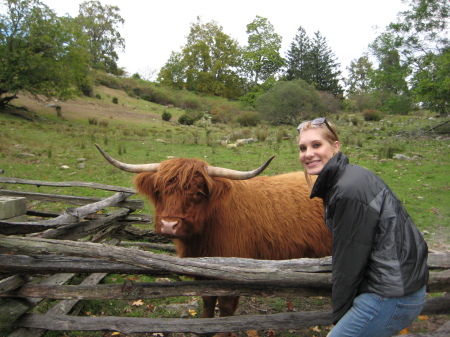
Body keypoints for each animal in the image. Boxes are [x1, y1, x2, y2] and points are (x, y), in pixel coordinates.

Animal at [95, 145, 332, 326]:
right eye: (159, 191)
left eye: (198, 193)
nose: (169, 225)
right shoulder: (204, 273)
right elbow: (208, 300)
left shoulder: (236, 274)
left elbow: (226, 308)